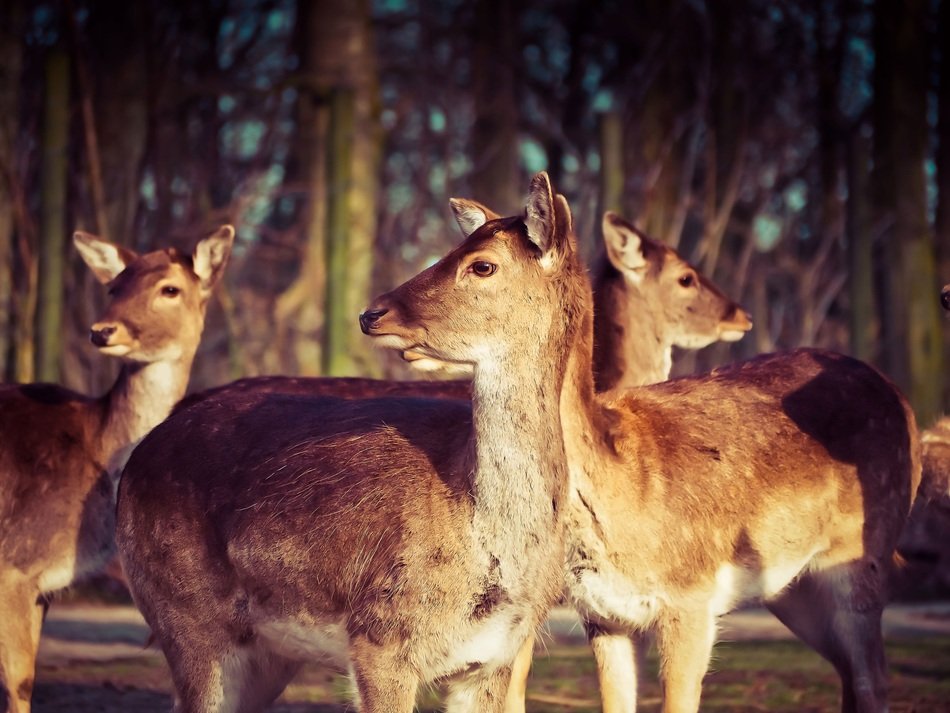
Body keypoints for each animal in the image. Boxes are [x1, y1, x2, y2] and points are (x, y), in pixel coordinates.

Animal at [0, 225, 233, 713]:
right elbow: (19, 683)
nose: (102, 330)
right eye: (113, 287)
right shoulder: (12, 563)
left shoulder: (39, 586)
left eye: (170, 289)